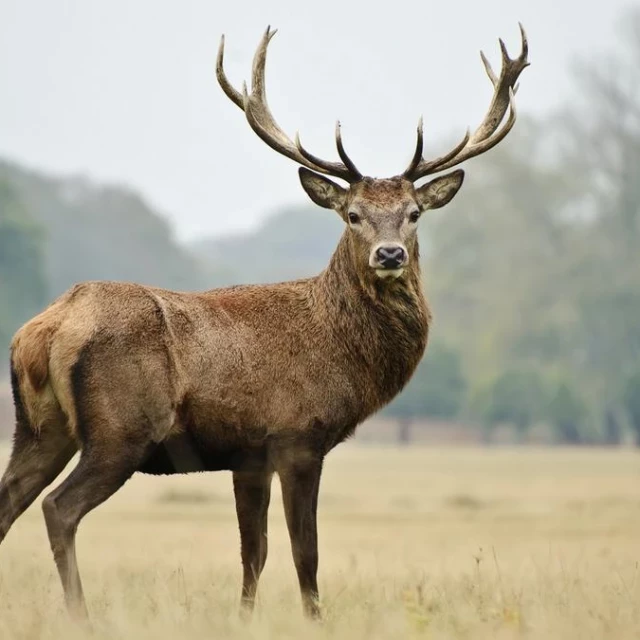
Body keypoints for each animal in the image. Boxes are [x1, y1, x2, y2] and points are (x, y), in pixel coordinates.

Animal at [0, 23, 528, 620]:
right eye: (353, 215)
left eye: (414, 214)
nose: (390, 254)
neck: (341, 351)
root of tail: (44, 329)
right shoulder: (297, 435)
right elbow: (305, 553)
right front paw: (317, 621)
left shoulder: (247, 455)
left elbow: (254, 551)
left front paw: (244, 619)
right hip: (121, 429)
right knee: (58, 508)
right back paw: (82, 615)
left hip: (39, 428)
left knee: (8, 504)